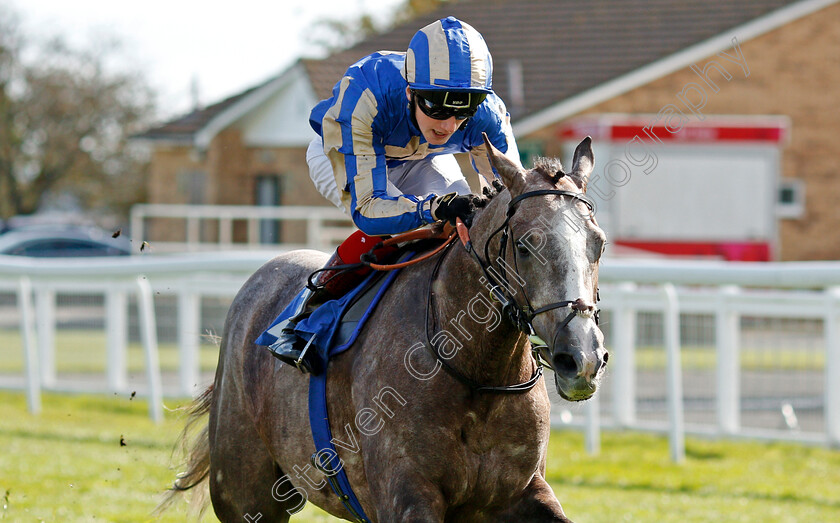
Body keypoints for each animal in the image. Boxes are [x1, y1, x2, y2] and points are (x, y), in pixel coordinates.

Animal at [162, 137, 612, 520]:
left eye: (599, 243)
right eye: (525, 244)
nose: (582, 358)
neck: (477, 374)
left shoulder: (522, 491)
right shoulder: (407, 494)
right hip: (246, 494)